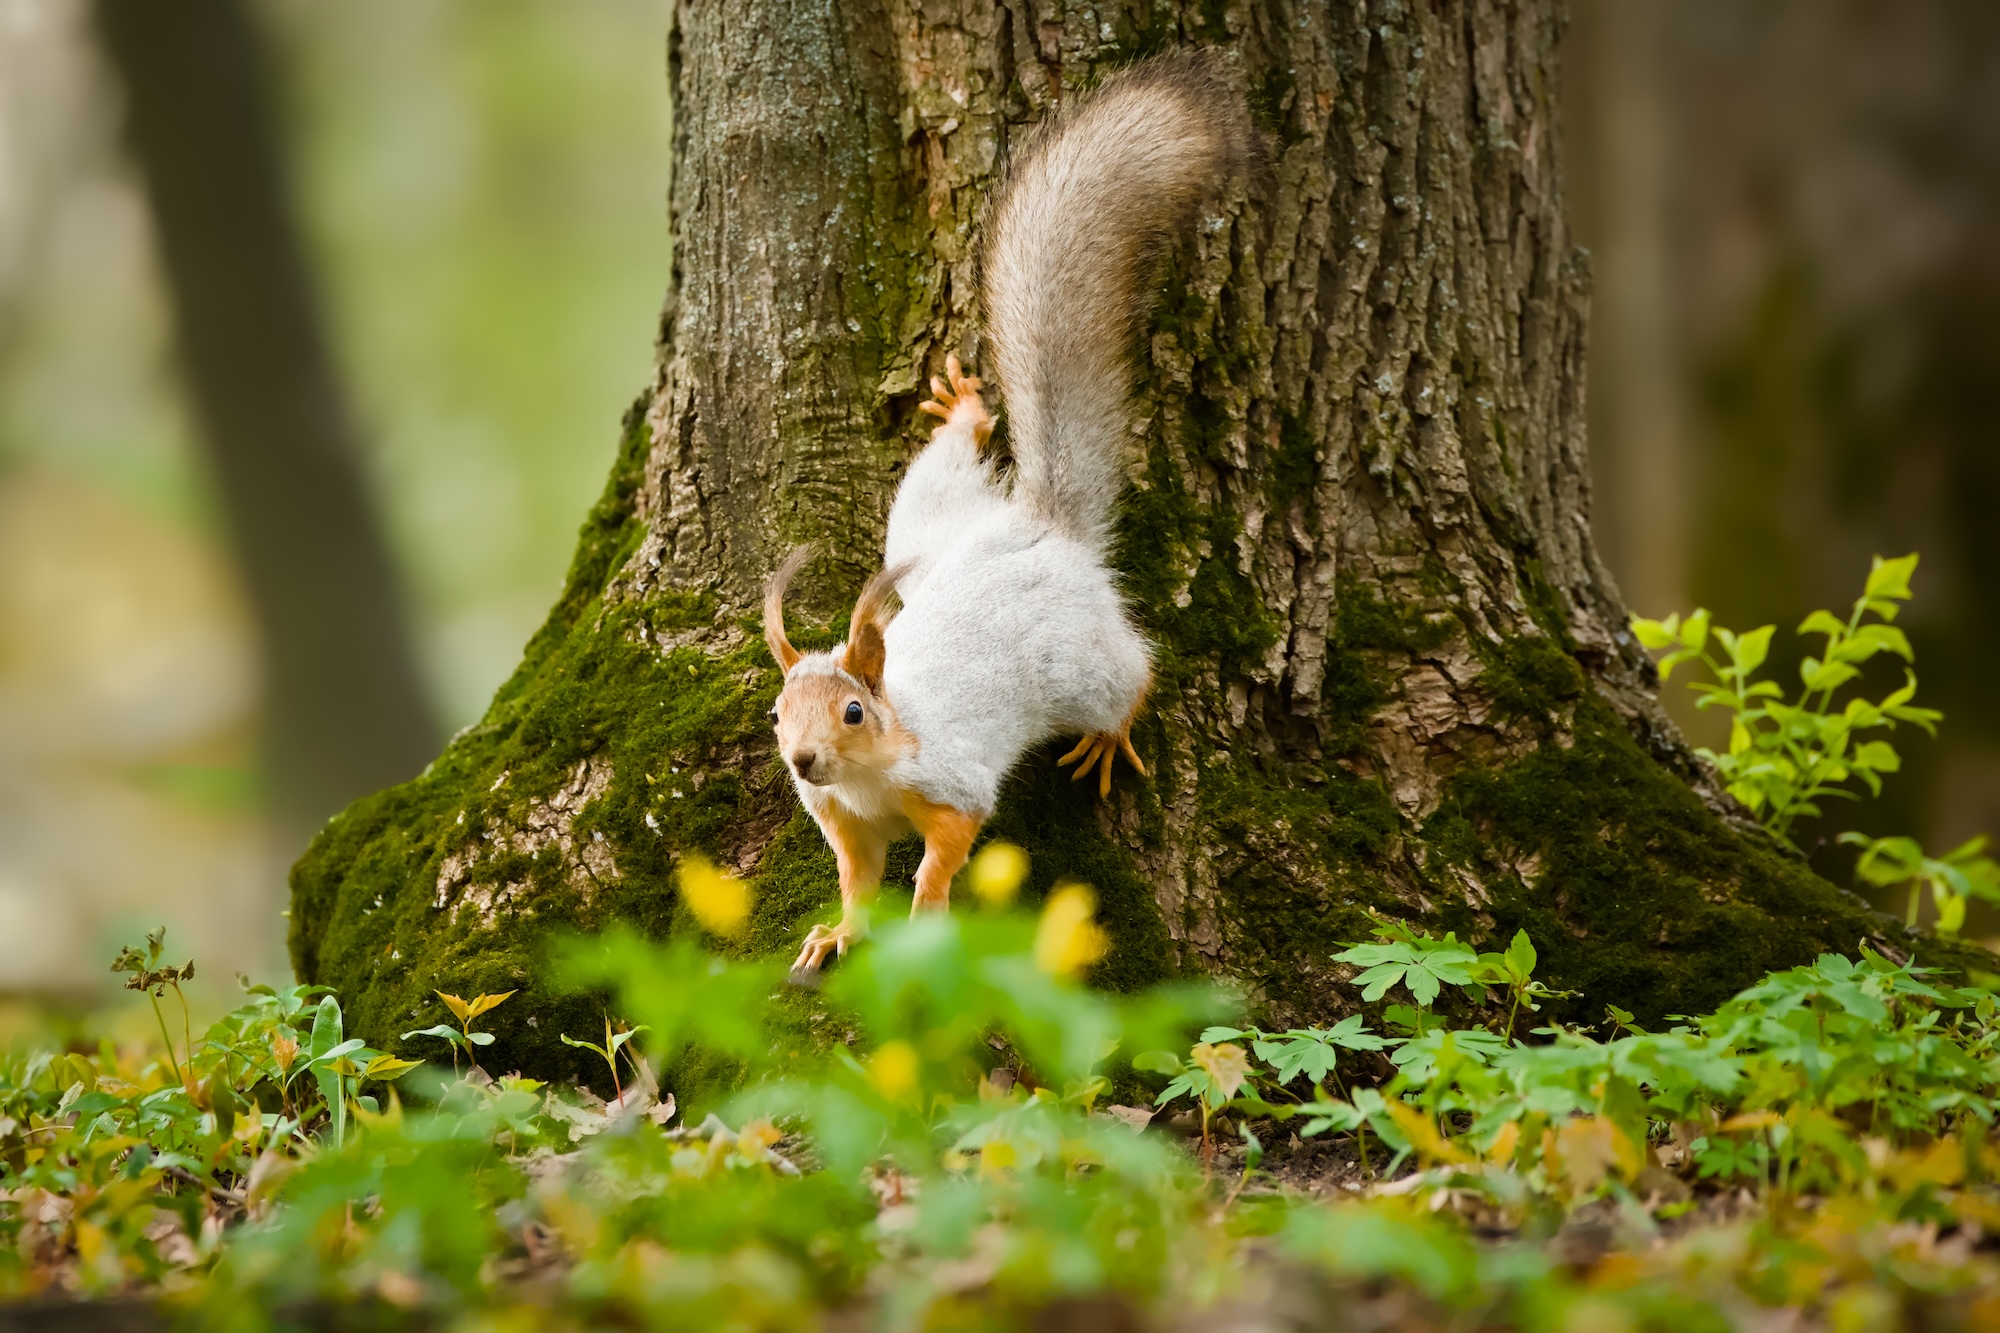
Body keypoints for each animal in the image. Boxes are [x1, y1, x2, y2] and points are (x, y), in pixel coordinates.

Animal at [762, 53, 1254, 973]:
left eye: (854, 711)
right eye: (776, 713)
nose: (803, 761)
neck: (870, 776)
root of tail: (1039, 528)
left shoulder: (949, 783)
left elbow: (946, 851)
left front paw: (925, 916)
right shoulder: (845, 824)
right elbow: (856, 882)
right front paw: (837, 933)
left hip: (1079, 664)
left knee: (1132, 674)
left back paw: (1109, 735)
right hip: (924, 523)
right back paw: (962, 414)